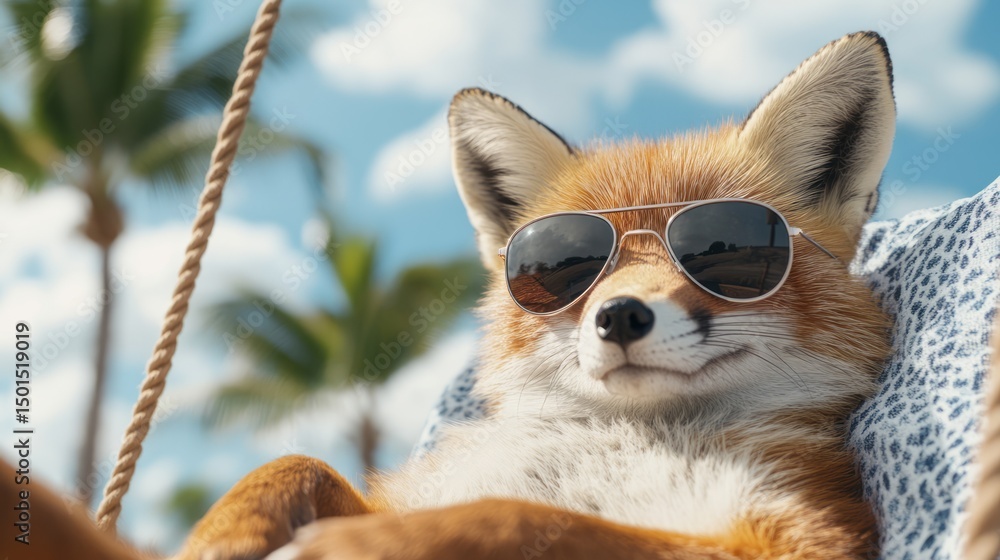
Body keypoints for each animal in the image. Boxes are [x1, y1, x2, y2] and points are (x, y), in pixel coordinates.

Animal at [9, 31, 911, 560]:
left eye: (727, 254)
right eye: (566, 266)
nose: (620, 316)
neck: (611, 443)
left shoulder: (793, 540)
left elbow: (542, 521)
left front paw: (368, 546)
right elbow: (294, 462)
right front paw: (222, 534)